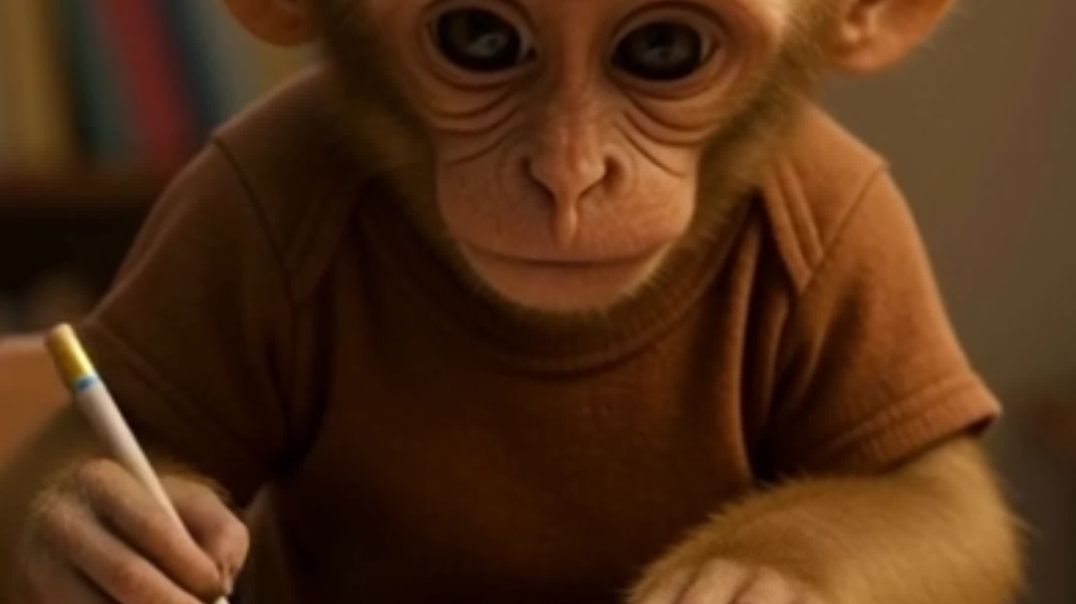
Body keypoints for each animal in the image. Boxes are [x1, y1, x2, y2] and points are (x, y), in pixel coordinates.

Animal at [0, 0, 1024, 602]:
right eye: (481, 37)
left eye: (663, 47)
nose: (567, 177)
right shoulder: (242, 189)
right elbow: (123, 428)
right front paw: (103, 527)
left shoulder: (851, 219)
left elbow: (932, 499)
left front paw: (763, 574)